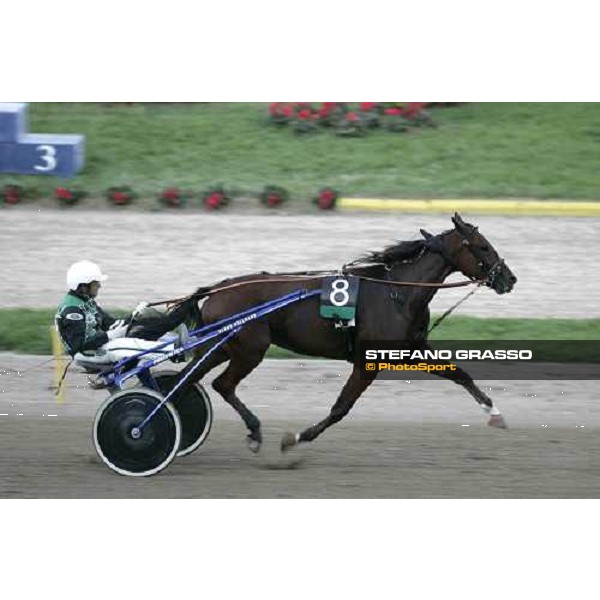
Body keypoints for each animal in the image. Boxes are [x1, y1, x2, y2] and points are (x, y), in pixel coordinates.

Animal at [168, 213, 516, 452]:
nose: (509, 279)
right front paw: (297, 438)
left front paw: (494, 413)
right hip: (250, 349)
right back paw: (252, 431)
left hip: (222, 347)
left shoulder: (411, 350)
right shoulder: (367, 362)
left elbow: (460, 374)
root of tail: (219, 288)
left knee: (189, 380)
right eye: (483, 247)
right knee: (221, 384)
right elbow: (341, 408)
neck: (398, 294)